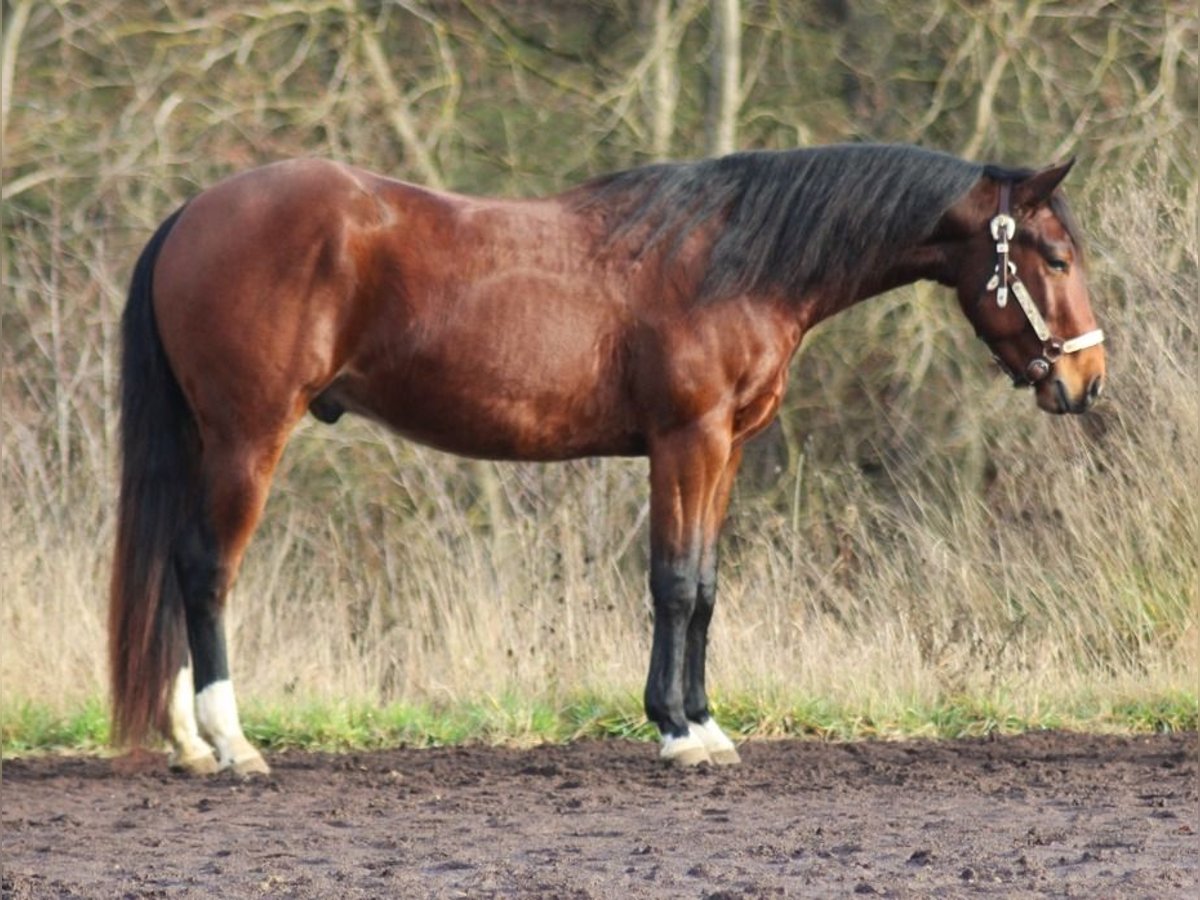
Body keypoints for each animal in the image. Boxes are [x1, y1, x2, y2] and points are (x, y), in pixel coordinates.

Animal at [109, 143, 1105, 774]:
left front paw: (704, 722)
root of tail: (192, 212)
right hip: (247, 437)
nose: (1088, 379)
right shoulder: (686, 441)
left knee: (174, 567)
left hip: (208, 440)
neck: (735, 262)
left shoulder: (725, 451)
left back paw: (187, 743)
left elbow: (705, 586)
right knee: (206, 571)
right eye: (1054, 256)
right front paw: (675, 731)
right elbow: (674, 584)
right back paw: (232, 743)